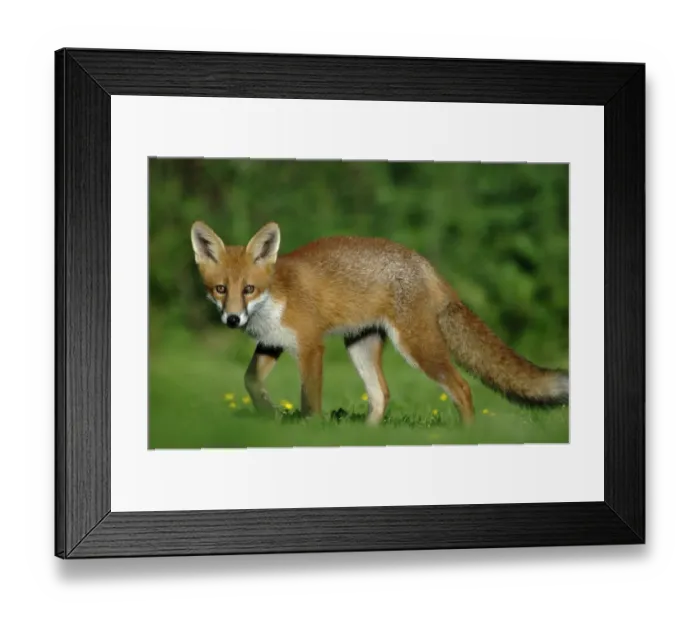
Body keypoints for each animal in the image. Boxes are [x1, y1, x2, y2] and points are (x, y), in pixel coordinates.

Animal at [191, 220, 569, 425]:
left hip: (417, 347)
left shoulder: (311, 346)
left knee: (462, 388)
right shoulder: (272, 342)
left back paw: (467, 434)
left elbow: (309, 398)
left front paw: (310, 429)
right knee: (382, 395)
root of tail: (424, 263)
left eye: (249, 289)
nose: (233, 319)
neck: (275, 296)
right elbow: (251, 381)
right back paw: (366, 435)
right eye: (221, 289)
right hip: (360, 345)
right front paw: (268, 414)